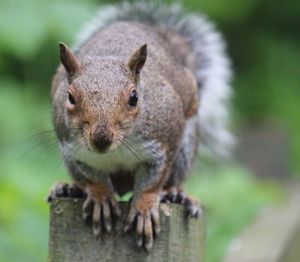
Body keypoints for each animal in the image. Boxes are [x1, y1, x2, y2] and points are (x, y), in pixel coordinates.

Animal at [48, 0, 233, 250]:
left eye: (134, 97)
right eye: (69, 97)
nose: (101, 139)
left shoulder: (167, 138)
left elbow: (152, 182)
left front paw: (144, 208)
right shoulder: (74, 150)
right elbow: (92, 177)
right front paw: (100, 196)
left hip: (186, 145)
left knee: (171, 180)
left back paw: (176, 195)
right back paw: (71, 188)